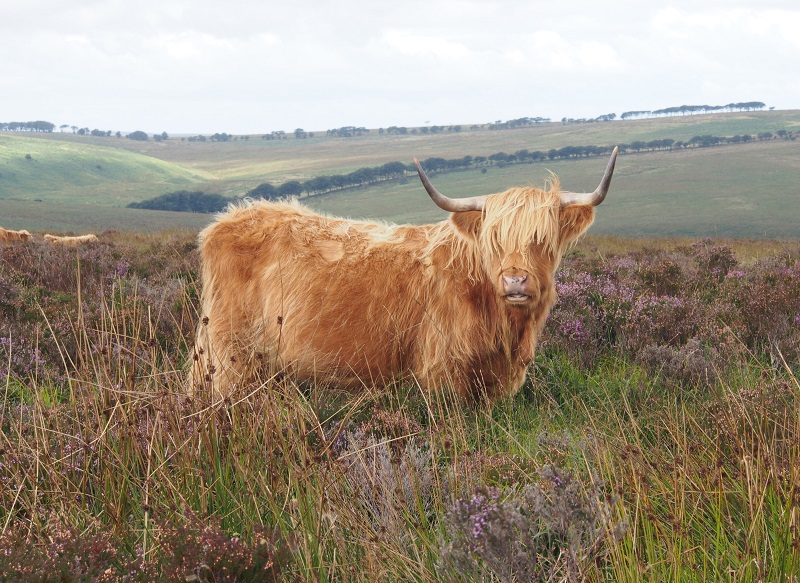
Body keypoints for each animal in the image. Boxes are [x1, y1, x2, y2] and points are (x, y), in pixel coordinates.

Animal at [192, 148, 620, 402]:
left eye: (542, 240)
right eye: (493, 242)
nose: (515, 281)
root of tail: (228, 219)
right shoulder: (442, 374)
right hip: (228, 353)